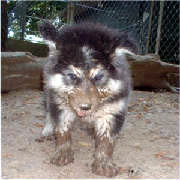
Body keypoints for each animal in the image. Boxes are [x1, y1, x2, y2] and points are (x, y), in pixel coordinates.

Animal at [38, 21, 136, 177]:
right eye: (72, 76)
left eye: (98, 77)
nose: (85, 107)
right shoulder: (60, 104)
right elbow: (62, 130)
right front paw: (62, 153)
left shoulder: (113, 110)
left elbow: (107, 139)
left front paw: (103, 163)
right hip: (48, 92)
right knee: (48, 112)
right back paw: (47, 131)